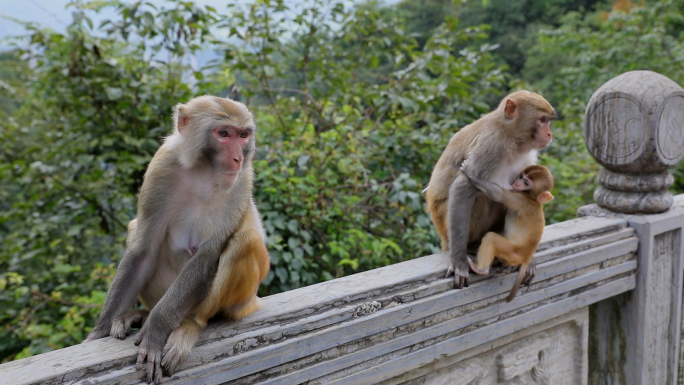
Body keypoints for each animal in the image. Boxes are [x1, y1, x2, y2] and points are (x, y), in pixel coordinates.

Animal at [460, 160, 552, 302]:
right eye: (521, 176)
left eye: (526, 183)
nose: (516, 183)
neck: (532, 199)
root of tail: (525, 257)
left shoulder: (519, 199)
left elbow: (498, 194)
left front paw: (470, 174)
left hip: (512, 252)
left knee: (491, 238)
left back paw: (481, 269)